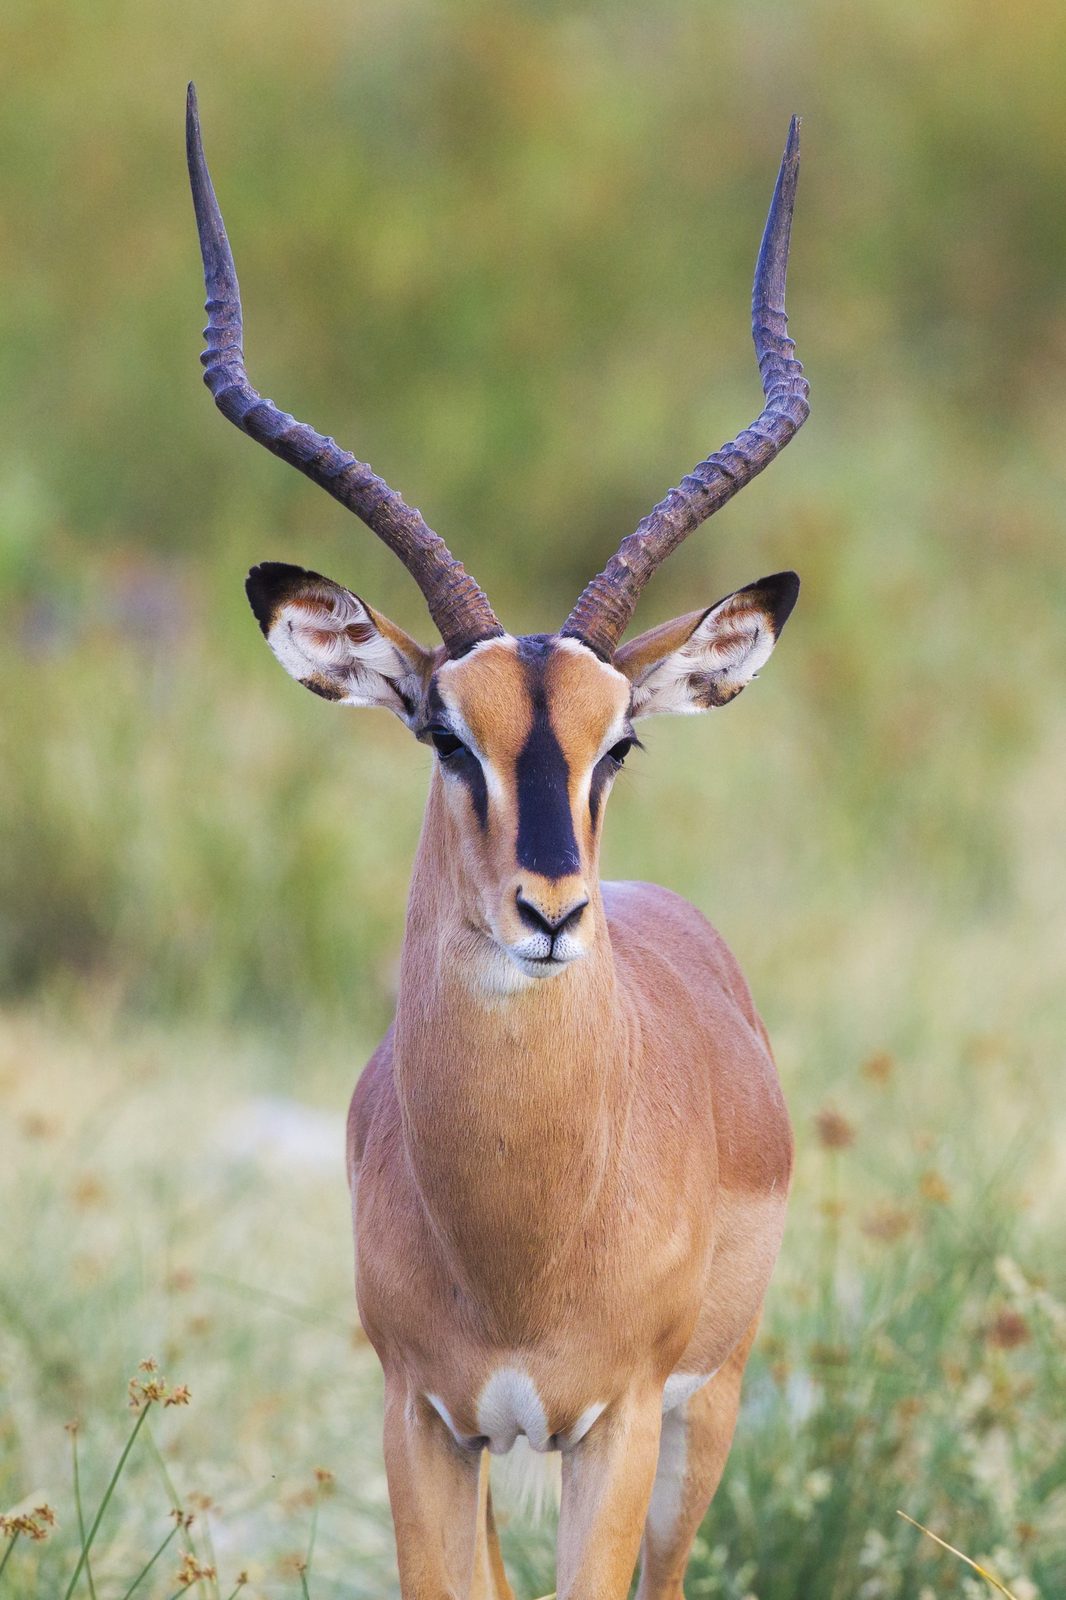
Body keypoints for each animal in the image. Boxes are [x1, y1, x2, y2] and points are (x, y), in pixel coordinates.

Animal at [187, 85, 808, 1600]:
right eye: (443, 735)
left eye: (618, 740)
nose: (550, 911)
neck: (523, 1234)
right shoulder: (422, 1420)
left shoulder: (618, 1423)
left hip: (705, 1418)